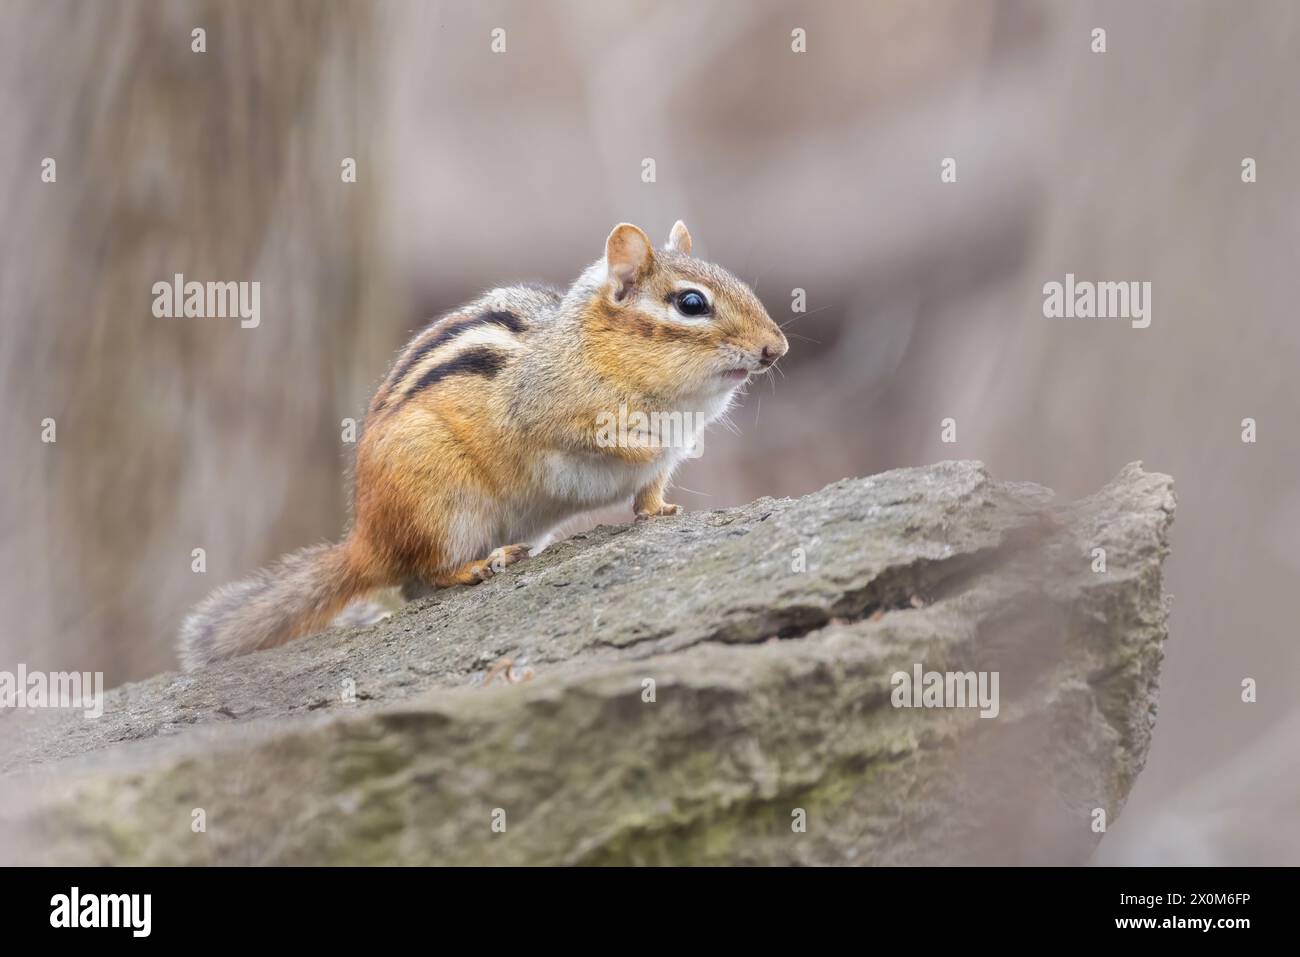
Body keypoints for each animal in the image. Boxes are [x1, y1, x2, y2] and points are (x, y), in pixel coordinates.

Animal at [178, 221, 788, 671]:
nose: (776, 348)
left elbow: (650, 490)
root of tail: (366, 538)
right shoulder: (550, 413)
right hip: (443, 503)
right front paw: (644, 444)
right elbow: (604, 441)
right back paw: (479, 566)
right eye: (691, 304)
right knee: (427, 571)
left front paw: (660, 509)